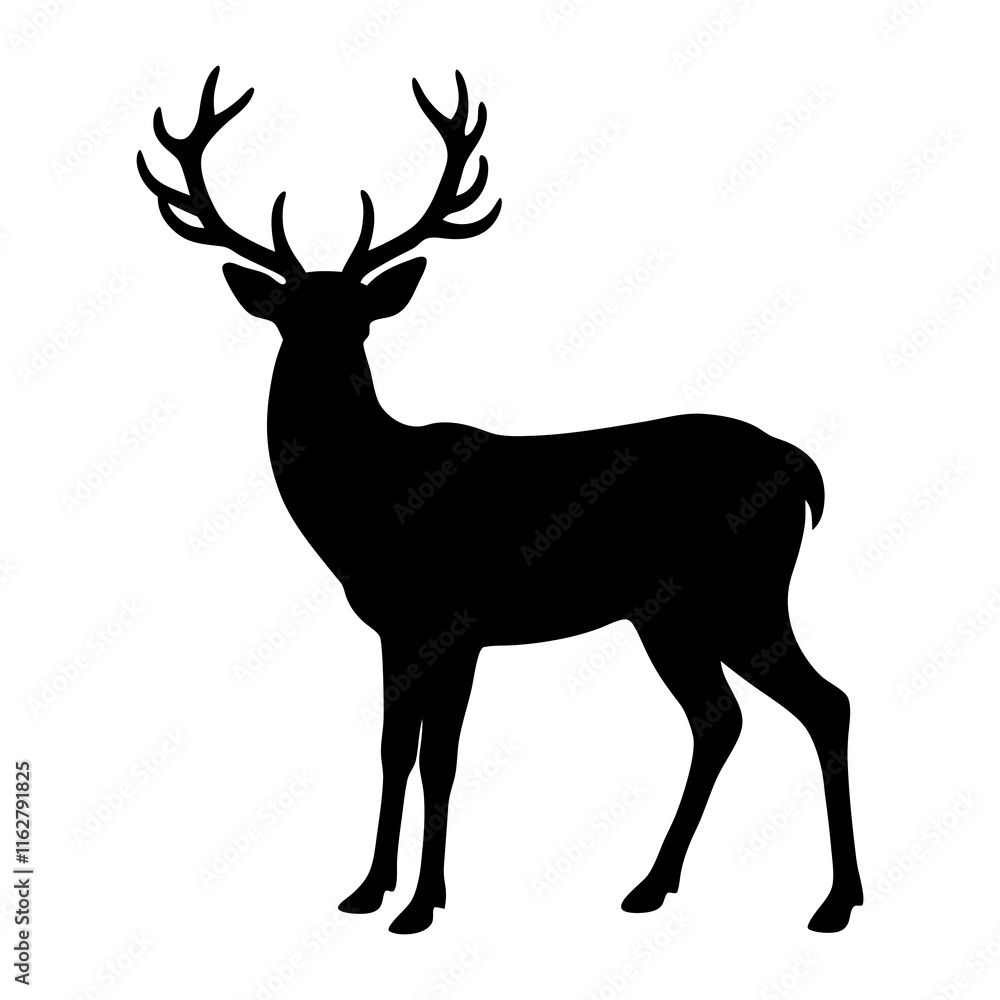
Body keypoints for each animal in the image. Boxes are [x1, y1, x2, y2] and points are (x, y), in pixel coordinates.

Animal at [137, 67, 863, 935]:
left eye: (360, 320)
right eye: (288, 315)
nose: (323, 367)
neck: (370, 505)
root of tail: (805, 471)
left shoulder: (455, 618)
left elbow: (441, 759)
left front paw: (420, 905)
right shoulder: (397, 629)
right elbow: (395, 749)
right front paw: (368, 889)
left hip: (740, 593)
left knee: (824, 703)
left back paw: (835, 901)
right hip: (674, 613)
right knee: (723, 719)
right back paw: (655, 885)